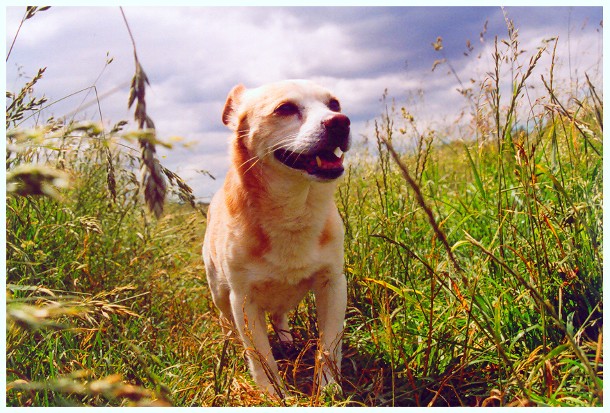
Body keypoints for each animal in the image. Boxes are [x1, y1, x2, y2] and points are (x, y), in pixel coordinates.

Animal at [202, 79, 350, 398]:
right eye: (285, 109)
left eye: (334, 104)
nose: (341, 122)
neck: (294, 211)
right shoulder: (243, 301)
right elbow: (260, 356)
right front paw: (273, 394)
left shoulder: (333, 284)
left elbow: (329, 345)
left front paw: (329, 388)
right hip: (219, 294)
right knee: (226, 324)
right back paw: (231, 347)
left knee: (280, 315)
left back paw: (286, 339)